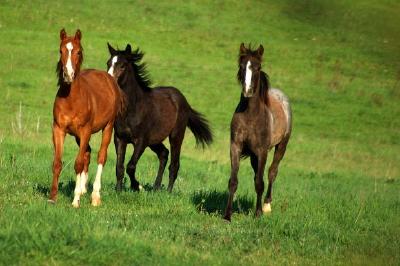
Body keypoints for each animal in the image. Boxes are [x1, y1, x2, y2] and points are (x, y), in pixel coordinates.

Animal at [50, 29, 125, 208]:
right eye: (61, 51)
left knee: (100, 156)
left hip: (107, 127)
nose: (68, 75)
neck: (71, 99)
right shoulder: (58, 129)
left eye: (78, 52)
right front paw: (52, 197)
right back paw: (84, 189)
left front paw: (75, 200)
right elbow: (58, 163)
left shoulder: (85, 131)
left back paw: (95, 196)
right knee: (87, 154)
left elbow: (78, 163)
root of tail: (109, 79)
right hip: (79, 136)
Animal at [105, 43, 212, 192]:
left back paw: (168, 191)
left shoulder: (141, 141)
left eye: (122, 65)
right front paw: (119, 191)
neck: (133, 108)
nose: (108, 82)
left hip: (176, 136)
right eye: (108, 63)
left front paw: (137, 186)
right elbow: (119, 167)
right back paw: (156, 187)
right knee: (163, 154)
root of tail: (184, 101)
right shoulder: (120, 139)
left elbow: (130, 166)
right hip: (154, 140)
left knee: (174, 164)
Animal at [223, 43, 292, 221]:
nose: (247, 91)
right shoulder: (236, 147)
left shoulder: (262, 151)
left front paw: (258, 213)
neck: (250, 116)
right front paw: (227, 215)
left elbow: (260, 183)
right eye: (241, 66)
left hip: (281, 146)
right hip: (254, 155)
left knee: (272, 172)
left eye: (258, 67)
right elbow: (233, 181)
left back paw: (266, 205)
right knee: (257, 175)